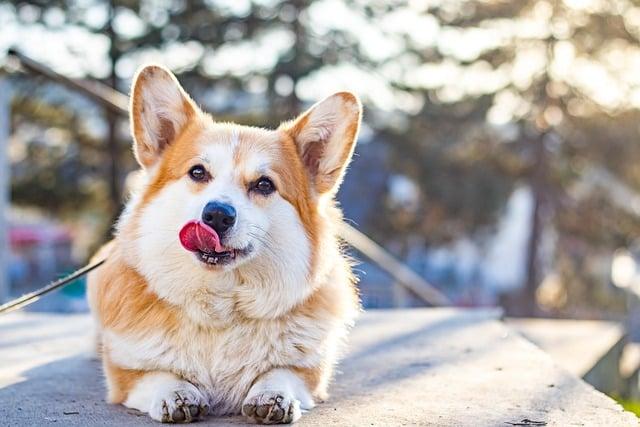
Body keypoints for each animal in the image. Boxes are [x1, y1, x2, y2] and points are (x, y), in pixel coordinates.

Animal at [87, 65, 362, 426]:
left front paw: (273, 395)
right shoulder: (126, 375)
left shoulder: (308, 371)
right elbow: (157, 374)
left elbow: (282, 372)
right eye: (198, 172)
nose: (217, 215)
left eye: (264, 184)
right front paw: (176, 393)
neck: (221, 304)